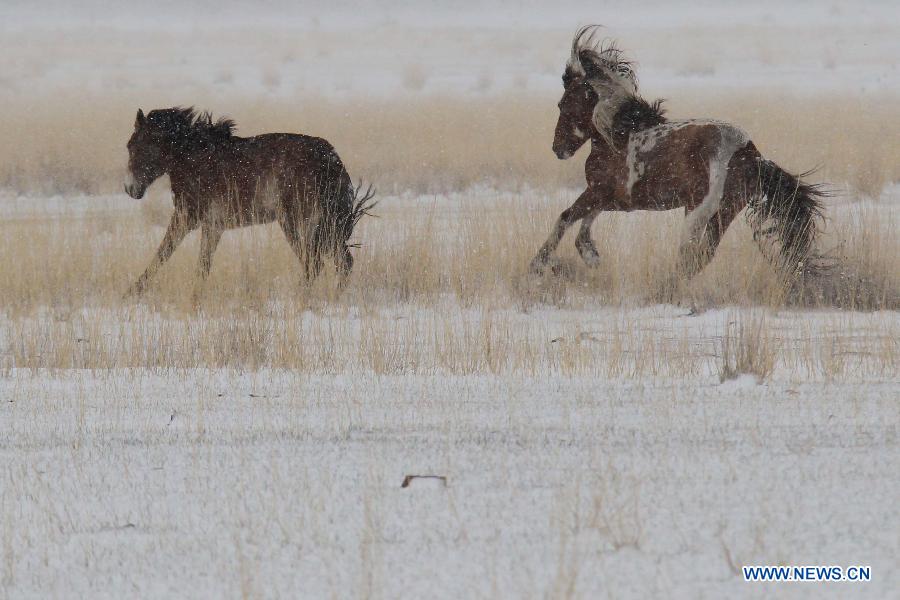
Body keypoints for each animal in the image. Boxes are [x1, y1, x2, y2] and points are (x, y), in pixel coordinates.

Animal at [124, 107, 372, 300]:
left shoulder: (186, 218)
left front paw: (133, 291)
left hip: (298, 222)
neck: (194, 158)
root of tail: (331, 158)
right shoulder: (213, 226)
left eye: (137, 146)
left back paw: (302, 297)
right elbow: (202, 264)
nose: (130, 189)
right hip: (323, 226)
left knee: (315, 263)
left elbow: (163, 252)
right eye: (130, 146)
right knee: (341, 262)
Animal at [532, 25, 828, 278]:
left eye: (562, 104)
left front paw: (539, 263)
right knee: (701, 256)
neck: (618, 136)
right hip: (722, 213)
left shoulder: (600, 191)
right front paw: (591, 255)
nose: (558, 149)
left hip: (702, 211)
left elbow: (566, 217)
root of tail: (752, 155)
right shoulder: (610, 198)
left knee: (693, 255)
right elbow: (584, 221)